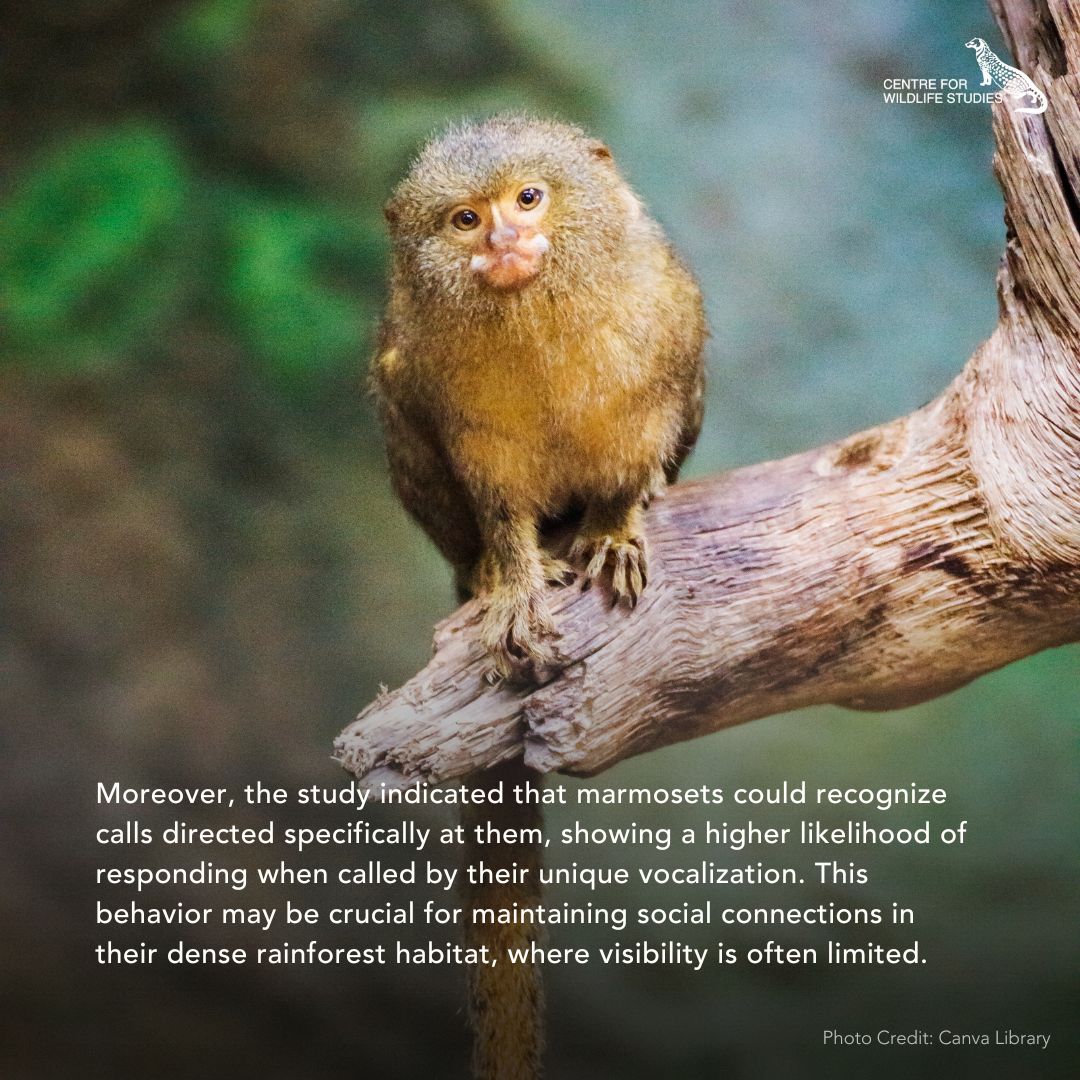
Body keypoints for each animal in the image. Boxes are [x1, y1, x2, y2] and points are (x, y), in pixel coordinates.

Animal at [371, 114, 706, 1079]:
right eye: (463, 220)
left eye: (529, 198)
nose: (504, 242)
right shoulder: (439, 388)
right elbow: (499, 504)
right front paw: (514, 582)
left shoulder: (670, 323)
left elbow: (631, 457)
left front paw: (618, 526)